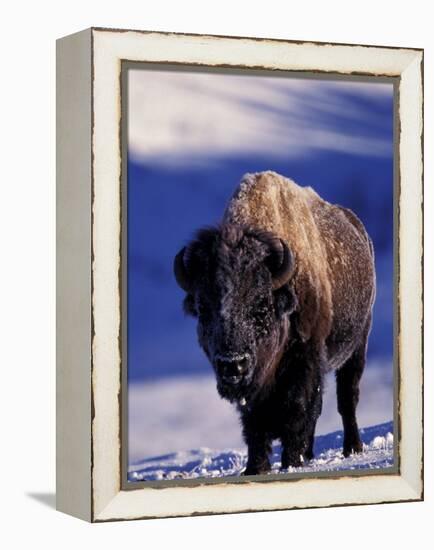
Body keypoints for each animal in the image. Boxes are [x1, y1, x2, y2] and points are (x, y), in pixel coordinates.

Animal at [172, 170, 372, 476]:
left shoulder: (305, 361)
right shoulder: (255, 389)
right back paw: (310, 453)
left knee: (346, 398)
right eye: (203, 308)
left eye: (261, 306)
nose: (233, 365)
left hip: (357, 346)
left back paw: (352, 448)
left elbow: (298, 409)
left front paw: (291, 462)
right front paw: (255, 468)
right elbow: (255, 424)